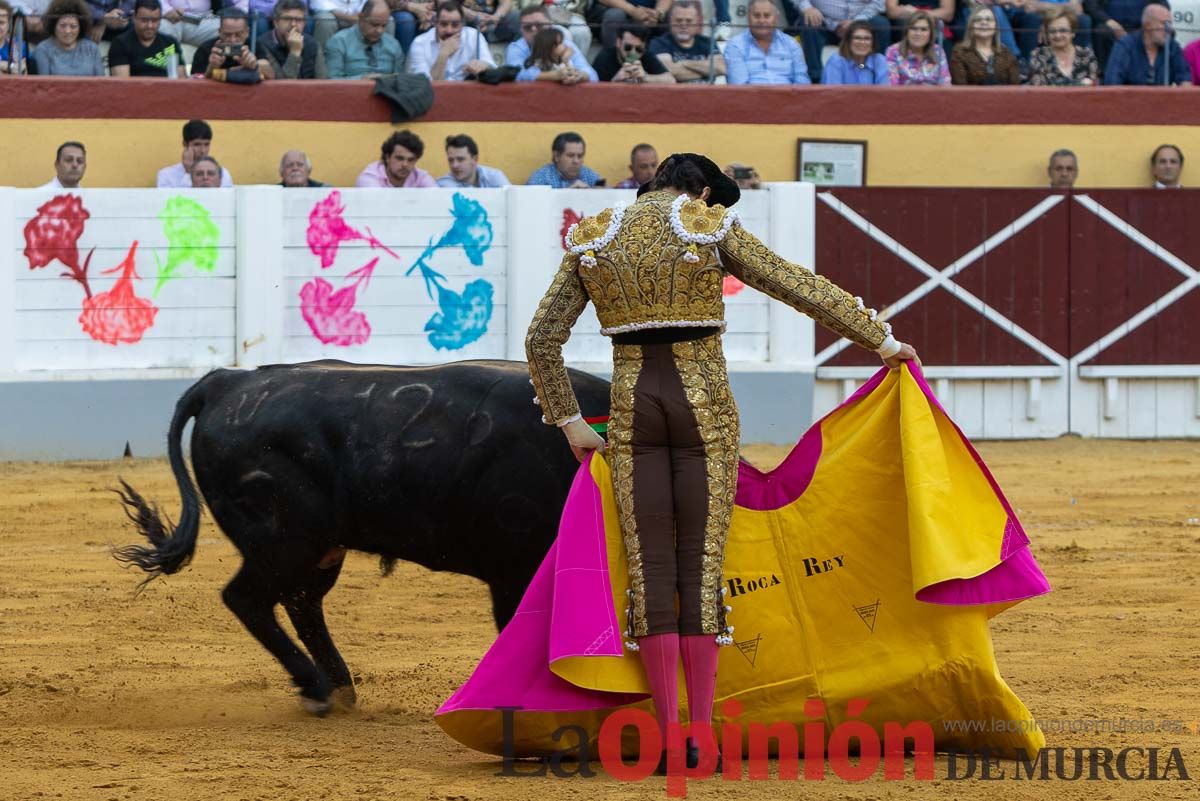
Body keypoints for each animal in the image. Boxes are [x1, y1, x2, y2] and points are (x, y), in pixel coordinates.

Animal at [114, 359, 609, 709]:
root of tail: (228, 382)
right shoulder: (513, 570)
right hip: (284, 541)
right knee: (248, 598)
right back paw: (316, 686)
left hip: (320, 549)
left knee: (301, 603)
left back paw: (336, 687)